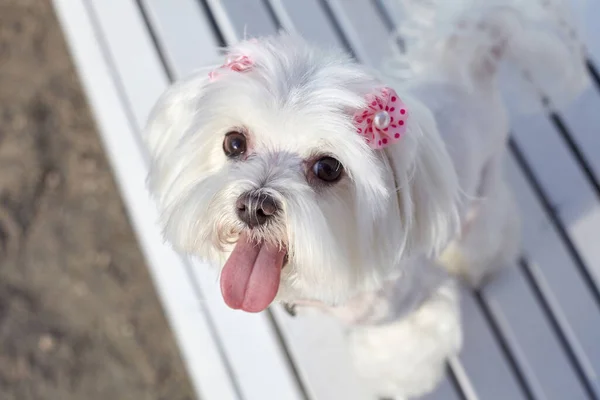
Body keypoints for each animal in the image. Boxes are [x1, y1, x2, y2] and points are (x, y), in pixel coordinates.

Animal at [144, 0, 584, 396]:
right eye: (233, 143)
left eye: (328, 168)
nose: (254, 205)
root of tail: (475, 56)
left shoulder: (410, 309)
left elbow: (400, 357)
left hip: (484, 188)